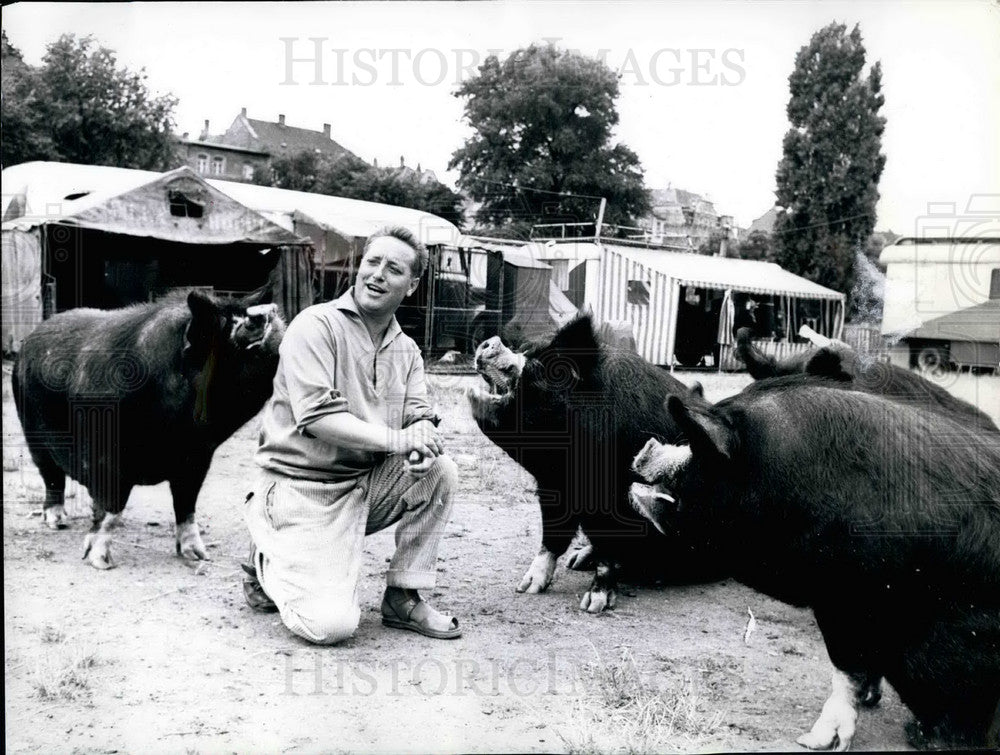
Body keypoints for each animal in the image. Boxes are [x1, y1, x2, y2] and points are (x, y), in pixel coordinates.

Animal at [464, 318, 724, 616]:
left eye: (542, 365)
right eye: (524, 349)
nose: (492, 341)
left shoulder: (614, 499)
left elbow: (608, 551)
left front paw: (593, 606)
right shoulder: (554, 487)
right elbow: (551, 538)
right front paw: (526, 588)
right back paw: (576, 561)